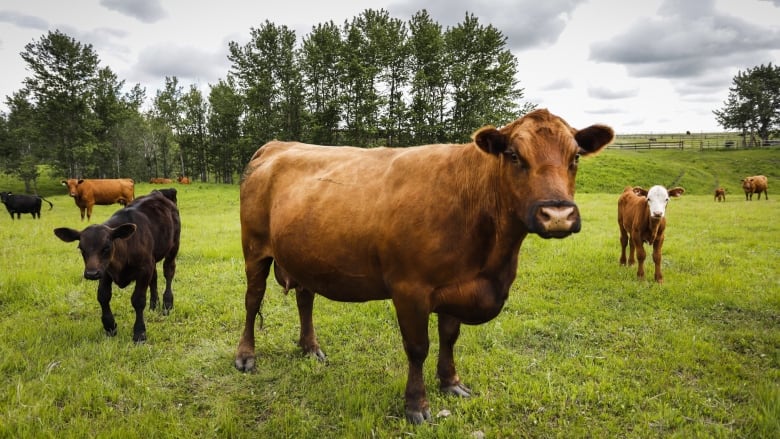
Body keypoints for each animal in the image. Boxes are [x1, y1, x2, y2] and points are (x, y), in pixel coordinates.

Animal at [53, 191, 181, 342]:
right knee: (154, 278)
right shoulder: (105, 270)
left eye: (107, 247)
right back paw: (153, 305)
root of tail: (158, 193)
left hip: (173, 246)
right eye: (81, 248)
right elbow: (103, 296)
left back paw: (167, 304)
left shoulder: (144, 269)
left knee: (168, 272)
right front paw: (109, 326)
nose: (91, 274)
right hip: (152, 258)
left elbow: (138, 299)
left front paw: (139, 332)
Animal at [235, 108, 612, 424]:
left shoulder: (457, 288)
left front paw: (451, 382)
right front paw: (417, 405)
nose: (558, 215)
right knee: (252, 301)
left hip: (306, 254)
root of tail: (275, 145)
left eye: (575, 157)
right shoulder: (410, 290)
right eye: (515, 156)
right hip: (254, 248)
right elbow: (418, 348)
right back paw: (246, 356)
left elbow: (449, 337)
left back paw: (310, 347)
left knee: (305, 298)